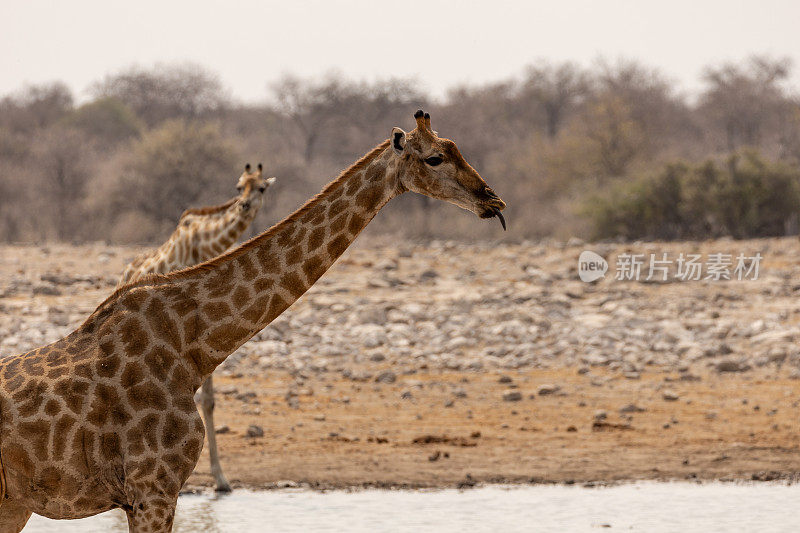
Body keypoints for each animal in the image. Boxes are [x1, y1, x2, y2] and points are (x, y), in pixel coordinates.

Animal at [117, 161, 276, 490]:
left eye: (261, 188)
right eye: (238, 186)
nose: (243, 205)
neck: (204, 247)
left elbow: (210, 400)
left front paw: (221, 478)